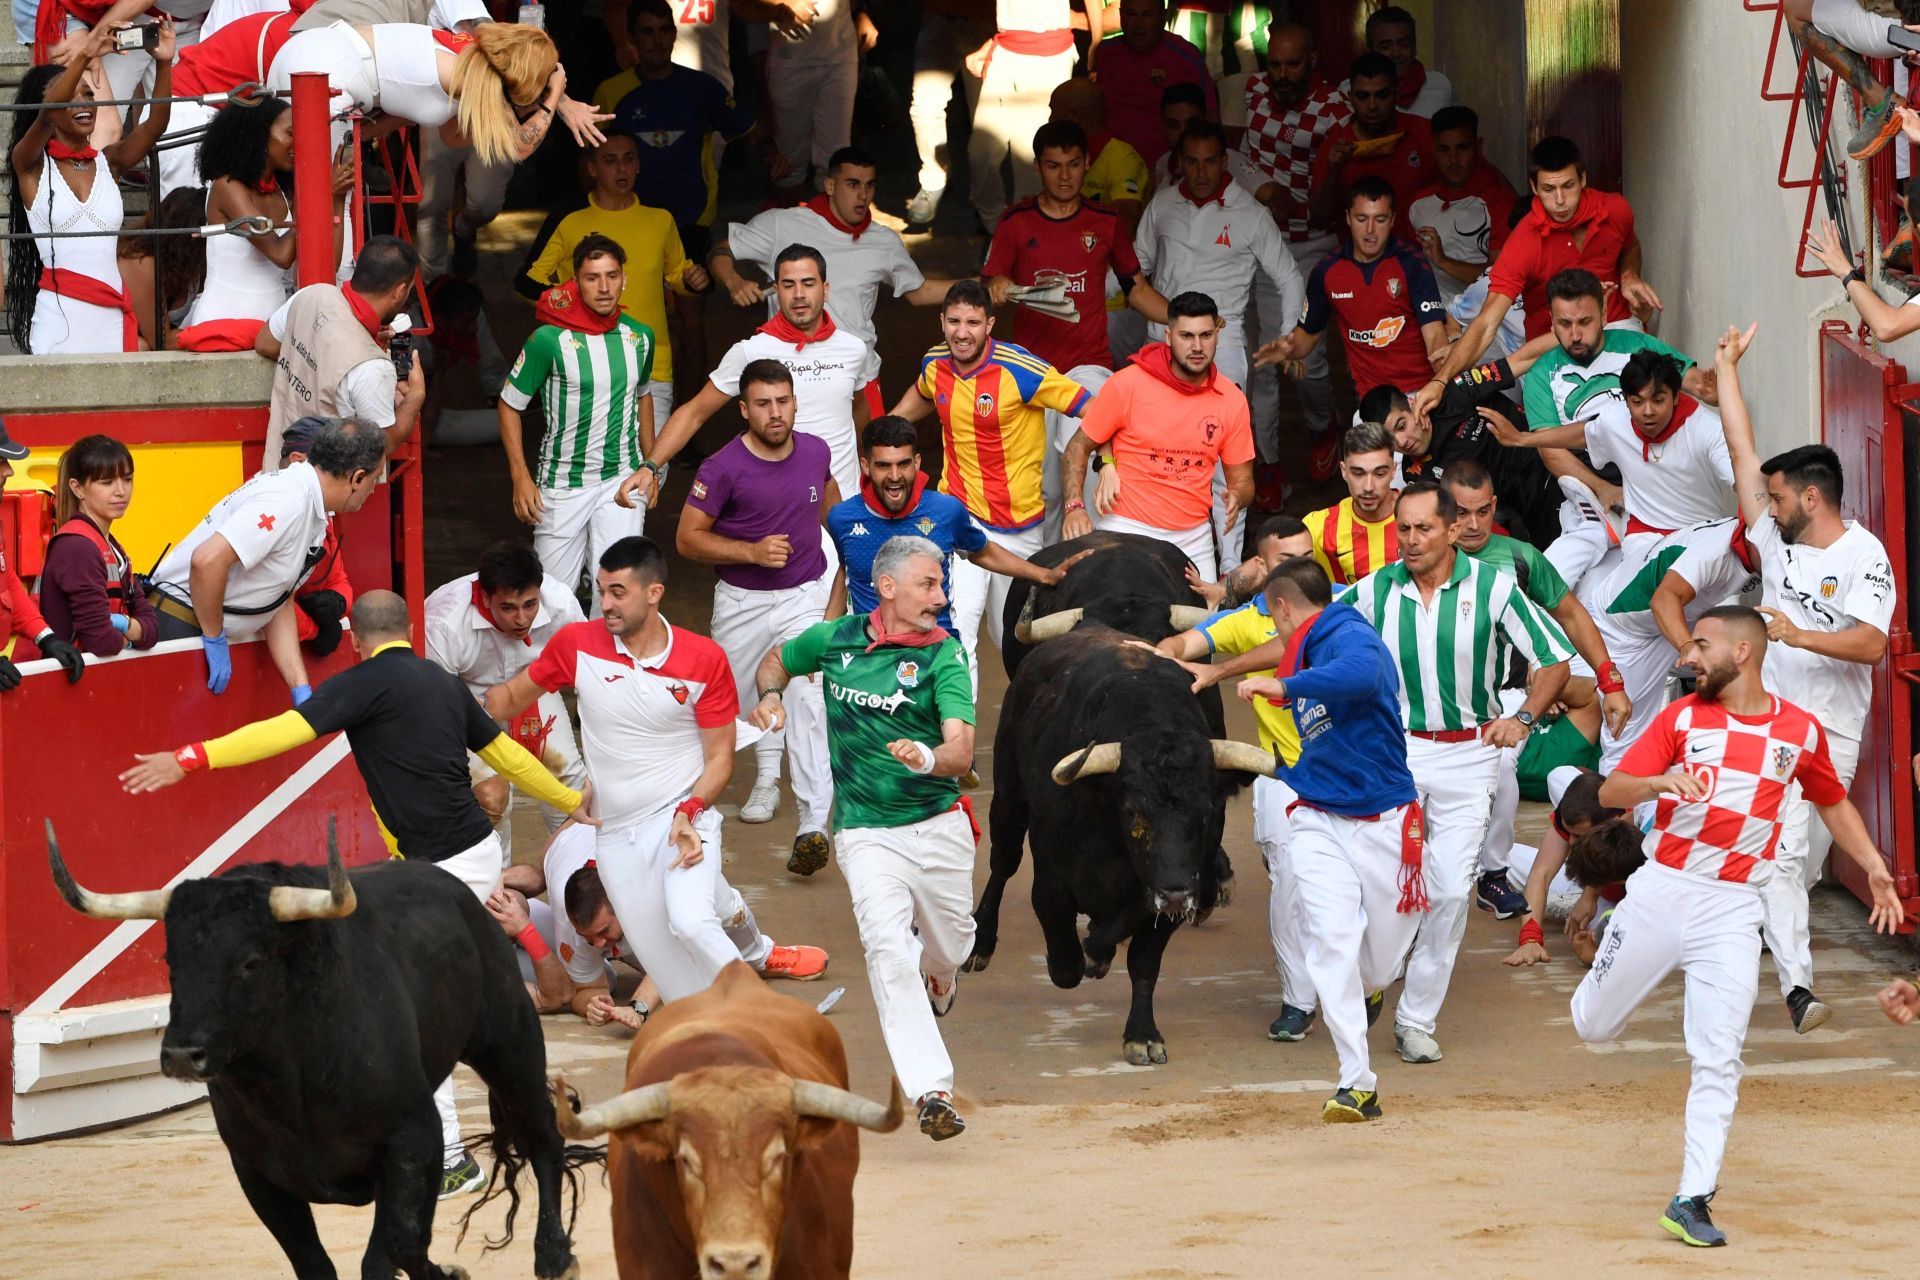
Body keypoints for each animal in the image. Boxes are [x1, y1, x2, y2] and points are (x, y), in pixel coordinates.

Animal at [48, 821, 587, 1280]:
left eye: (250, 962)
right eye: (169, 960)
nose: (182, 1053)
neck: (290, 1087)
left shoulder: (412, 1142)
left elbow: (395, 1249)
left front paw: (451, 1272)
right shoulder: (257, 1172)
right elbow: (318, 1262)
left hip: (510, 1042)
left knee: (543, 1136)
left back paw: (554, 1255)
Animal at [967, 629, 1267, 1059]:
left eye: (1207, 813)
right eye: (1133, 812)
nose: (1176, 893)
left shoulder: (1168, 898)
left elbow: (1143, 961)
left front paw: (1141, 1033)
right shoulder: (1050, 888)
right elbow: (1065, 966)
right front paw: (1086, 956)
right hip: (1008, 795)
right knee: (1002, 863)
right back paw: (980, 943)